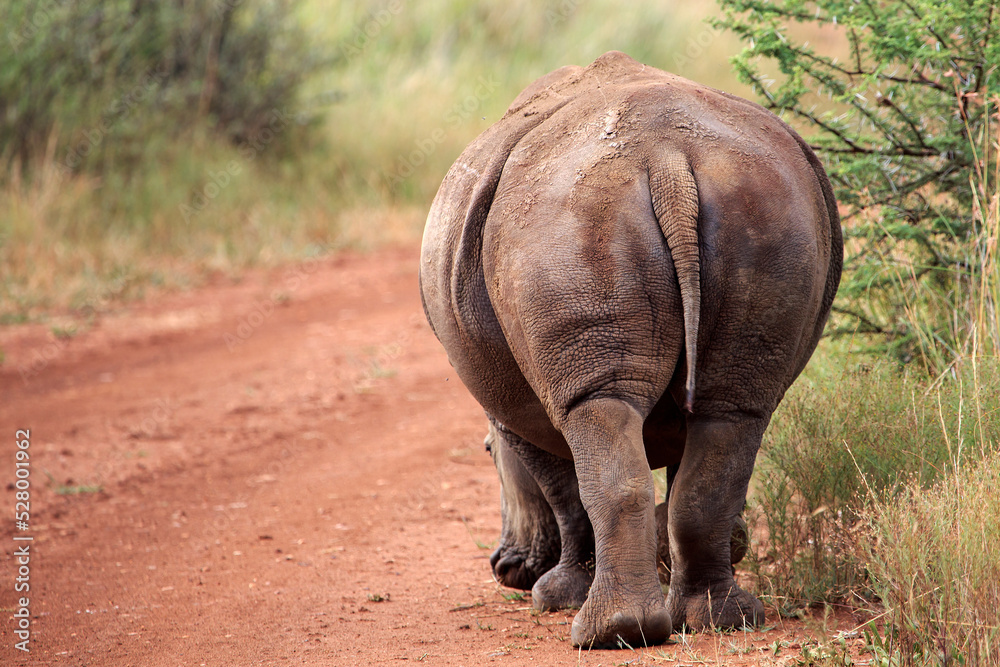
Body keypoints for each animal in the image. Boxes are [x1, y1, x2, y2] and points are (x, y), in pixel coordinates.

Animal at [419, 51, 842, 648]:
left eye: (484, 454)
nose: (506, 569)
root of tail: (667, 161)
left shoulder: (509, 407)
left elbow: (562, 490)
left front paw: (556, 596)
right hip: (767, 211)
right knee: (731, 411)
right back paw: (721, 619)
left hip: (563, 223)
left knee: (597, 412)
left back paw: (608, 633)